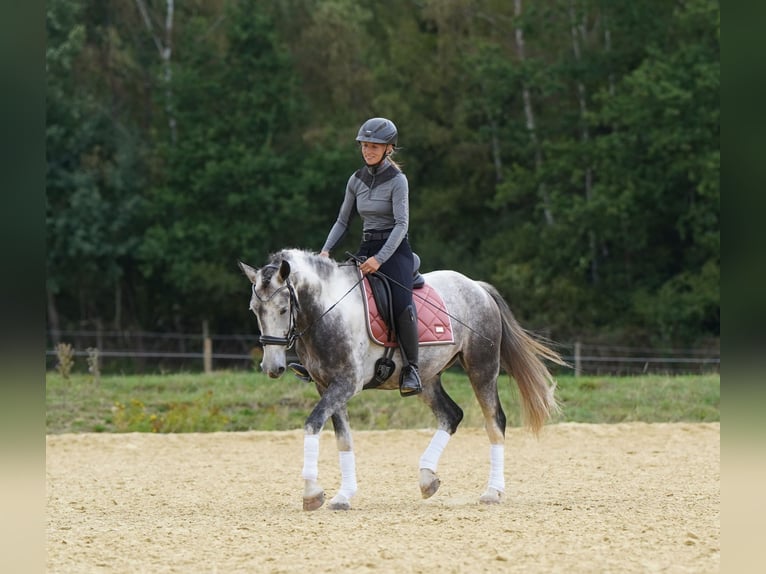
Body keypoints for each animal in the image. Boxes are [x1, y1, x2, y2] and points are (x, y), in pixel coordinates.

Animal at [239, 248, 564, 511]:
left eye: (283, 309)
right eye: (254, 310)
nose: (272, 367)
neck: (327, 312)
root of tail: (477, 287)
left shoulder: (346, 384)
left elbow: (312, 424)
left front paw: (311, 492)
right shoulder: (327, 386)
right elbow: (344, 439)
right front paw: (344, 495)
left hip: (481, 367)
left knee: (495, 422)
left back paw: (492, 492)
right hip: (427, 378)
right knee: (451, 415)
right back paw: (427, 479)